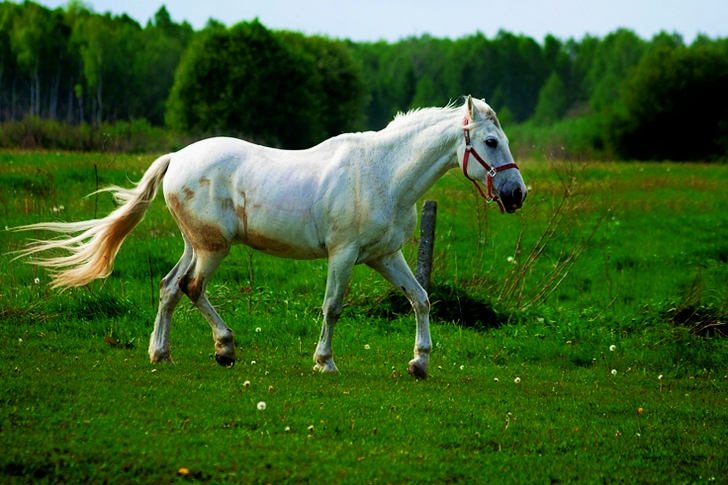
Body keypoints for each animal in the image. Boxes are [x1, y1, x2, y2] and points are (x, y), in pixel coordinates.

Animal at [12, 96, 527, 378]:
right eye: (490, 142)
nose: (517, 194)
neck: (383, 173)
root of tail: (176, 158)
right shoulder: (343, 255)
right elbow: (332, 307)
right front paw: (325, 362)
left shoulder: (385, 256)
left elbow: (420, 299)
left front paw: (419, 363)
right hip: (213, 248)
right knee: (191, 287)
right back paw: (224, 348)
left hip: (196, 244)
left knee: (169, 287)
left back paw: (163, 353)